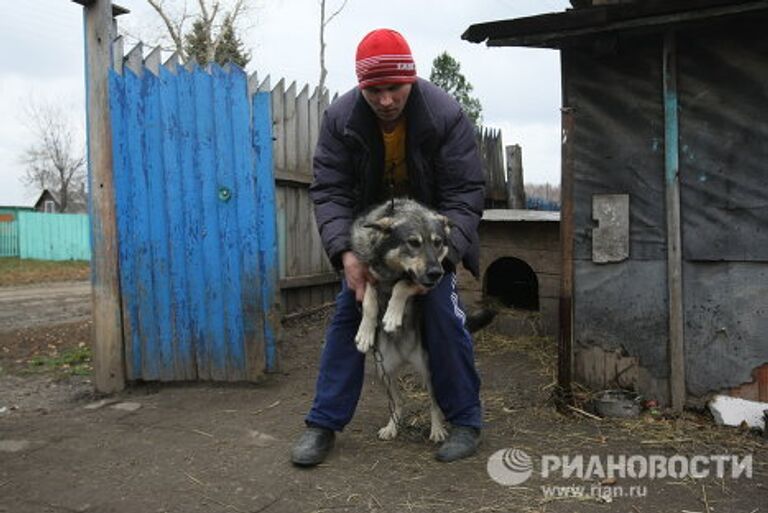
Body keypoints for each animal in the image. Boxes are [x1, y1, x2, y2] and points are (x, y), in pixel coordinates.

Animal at [350, 198, 450, 442]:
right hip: (382, 370)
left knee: (435, 404)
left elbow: (402, 285)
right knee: (399, 402)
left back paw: (437, 430)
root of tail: (405, 355)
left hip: (429, 371)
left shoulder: (417, 281)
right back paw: (392, 427)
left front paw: (392, 316)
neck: (391, 270)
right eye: (413, 243)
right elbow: (369, 303)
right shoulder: (368, 278)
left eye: (438, 243)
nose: (437, 273)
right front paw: (365, 333)